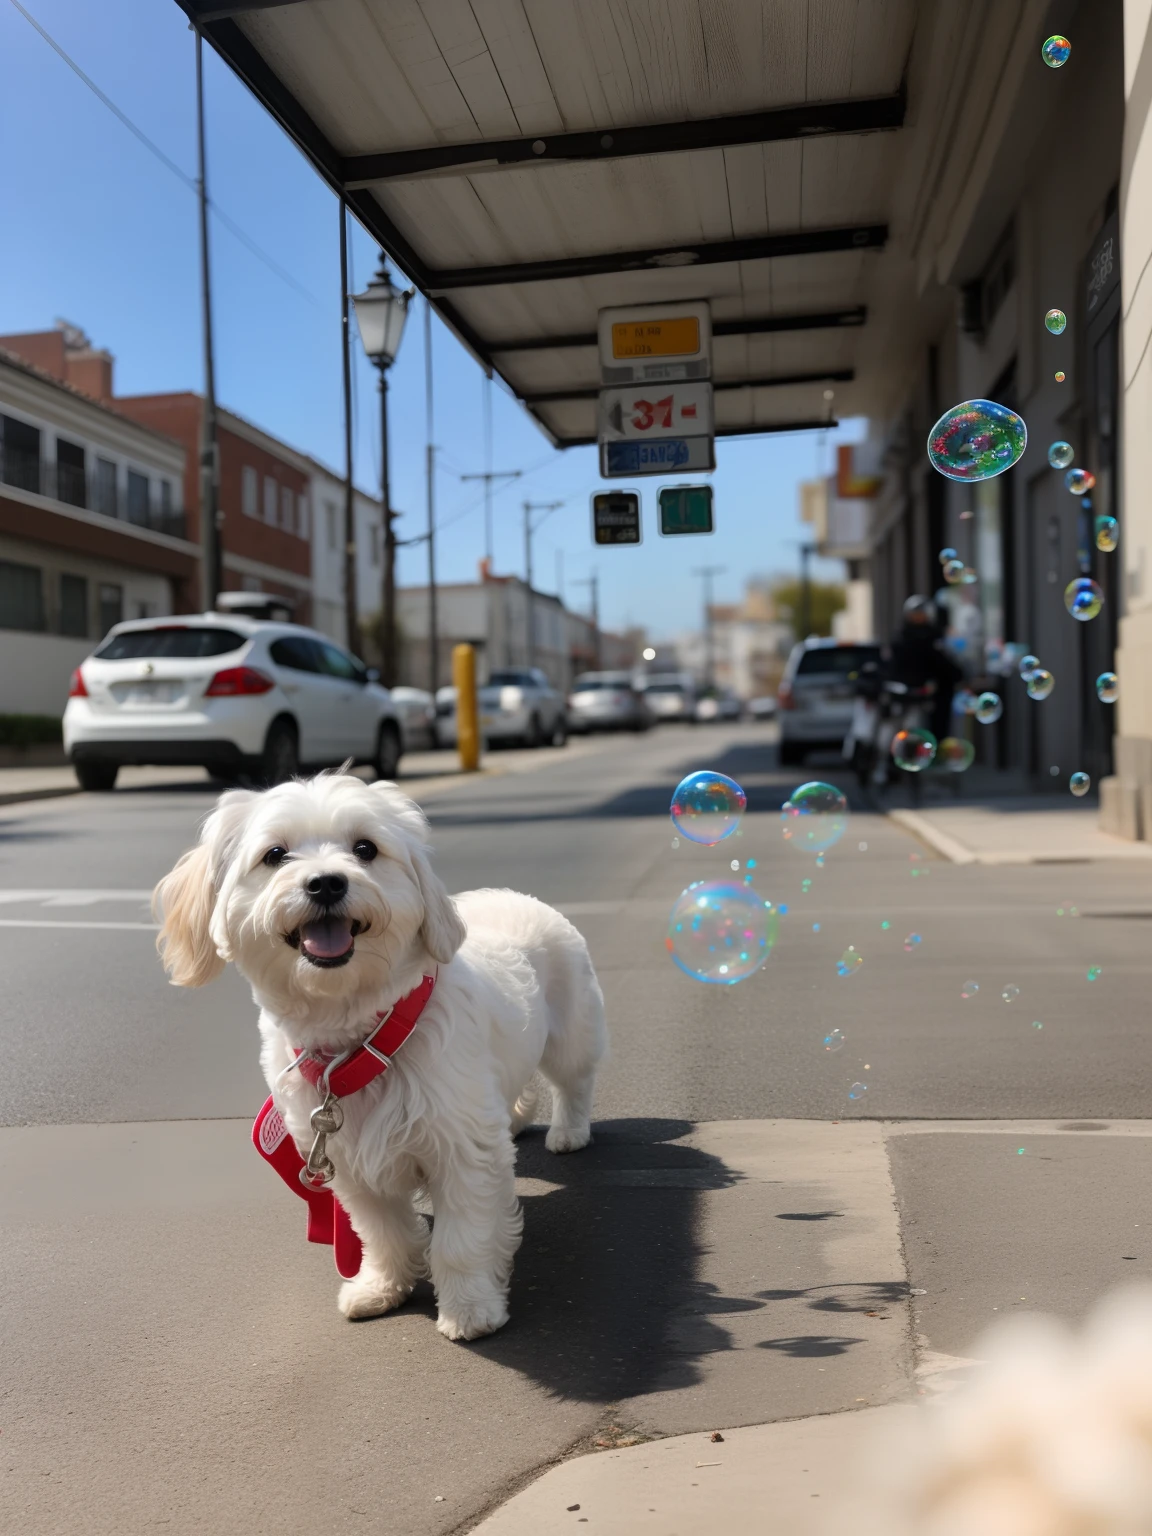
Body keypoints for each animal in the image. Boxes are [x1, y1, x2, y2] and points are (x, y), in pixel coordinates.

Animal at [154, 774, 608, 1339]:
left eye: (365, 849)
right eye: (274, 855)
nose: (326, 883)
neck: (360, 1041)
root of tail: (515, 895)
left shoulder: (462, 1151)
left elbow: (462, 1239)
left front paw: (471, 1307)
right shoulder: (346, 1162)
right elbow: (382, 1231)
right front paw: (383, 1286)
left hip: (572, 1032)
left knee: (574, 1082)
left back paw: (569, 1130)